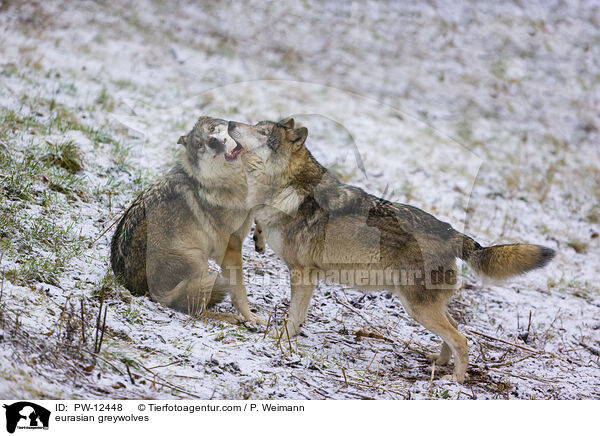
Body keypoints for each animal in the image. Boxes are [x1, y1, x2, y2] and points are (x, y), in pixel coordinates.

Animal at [110, 117, 264, 326]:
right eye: (199, 145)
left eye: (212, 128)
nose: (212, 141)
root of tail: (134, 288)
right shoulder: (230, 249)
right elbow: (240, 291)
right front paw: (251, 318)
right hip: (197, 260)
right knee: (196, 312)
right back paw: (229, 318)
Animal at [227, 118, 556, 382]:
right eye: (254, 124)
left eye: (261, 131)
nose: (230, 122)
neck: (287, 188)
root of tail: (452, 232)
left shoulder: (302, 274)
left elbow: (292, 317)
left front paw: (278, 339)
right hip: (424, 306)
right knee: (454, 330)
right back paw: (439, 364)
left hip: (417, 307)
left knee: (461, 339)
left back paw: (455, 382)